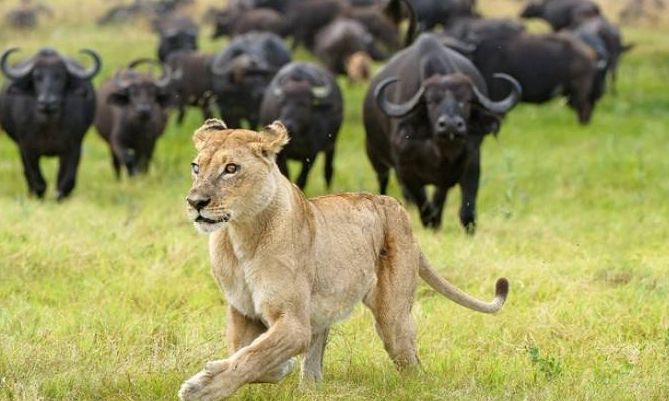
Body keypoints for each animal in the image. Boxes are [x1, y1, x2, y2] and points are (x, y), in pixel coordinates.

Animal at [0, 47, 100, 200]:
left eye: (60, 76)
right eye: (37, 77)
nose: (47, 102)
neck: (48, 127)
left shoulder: (74, 146)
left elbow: (67, 180)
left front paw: (59, 196)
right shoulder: (26, 148)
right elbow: (37, 180)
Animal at [260, 61, 344, 189]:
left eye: (304, 103)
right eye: (283, 102)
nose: (288, 124)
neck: (297, 137)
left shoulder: (311, 154)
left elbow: (302, 179)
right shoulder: (281, 154)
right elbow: (286, 175)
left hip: (331, 145)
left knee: (328, 170)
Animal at [362, 36, 520, 233]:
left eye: (466, 101)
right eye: (431, 101)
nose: (450, 125)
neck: (440, 153)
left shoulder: (471, 163)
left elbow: (465, 210)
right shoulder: (406, 171)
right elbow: (424, 206)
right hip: (375, 157)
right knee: (383, 181)